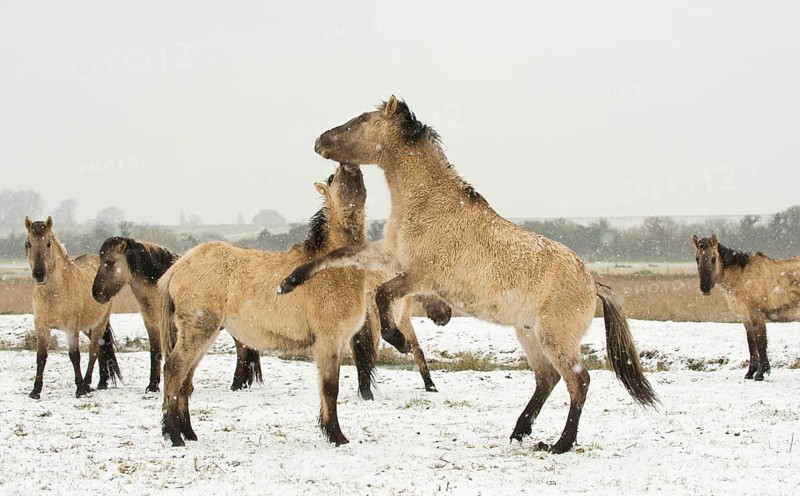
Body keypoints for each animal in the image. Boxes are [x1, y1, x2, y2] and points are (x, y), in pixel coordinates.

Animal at [24, 216, 122, 399]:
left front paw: (79, 389)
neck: (53, 294)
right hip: (87, 327)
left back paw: (88, 383)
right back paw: (101, 382)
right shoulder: (41, 326)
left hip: (99, 323)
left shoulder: (71, 327)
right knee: (100, 349)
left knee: (93, 350)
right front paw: (35, 391)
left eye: (48, 243)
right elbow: (41, 357)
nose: (39, 274)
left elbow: (74, 355)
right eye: (28, 244)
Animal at [91, 237, 263, 392]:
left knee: (241, 349)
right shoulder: (152, 326)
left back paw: (236, 384)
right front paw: (153, 386)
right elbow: (155, 352)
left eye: (109, 262)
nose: (96, 294)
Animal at [159, 163, 373, 447]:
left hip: (204, 335)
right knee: (174, 371)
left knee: (185, 380)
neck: (333, 270)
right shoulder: (329, 341)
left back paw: (189, 434)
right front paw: (337, 436)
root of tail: (178, 266)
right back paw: (175, 436)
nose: (349, 165)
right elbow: (330, 388)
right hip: (198, 331)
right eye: (332, 178)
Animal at [278, 96, 658, 454]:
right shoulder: (390, 256)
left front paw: (398, 340)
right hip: (529, 334)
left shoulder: (421, 276)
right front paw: (289, 283)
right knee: (547, 378)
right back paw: (519, 432)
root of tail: (593, 283)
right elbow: (339, 257)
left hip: (555, 339)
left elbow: (383, 294)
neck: (429, 203)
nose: (319, 141)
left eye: (360, 119)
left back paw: (559, 444)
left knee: (579, 381)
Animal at [692, 234, 800, 380]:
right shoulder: (745, 317)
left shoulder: (757, 314)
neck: (741, 278)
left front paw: (761, 374)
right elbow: (751, 342)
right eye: (697, 259)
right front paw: (750, 373)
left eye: (713, 259)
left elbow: (761, 341)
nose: (705, 289)